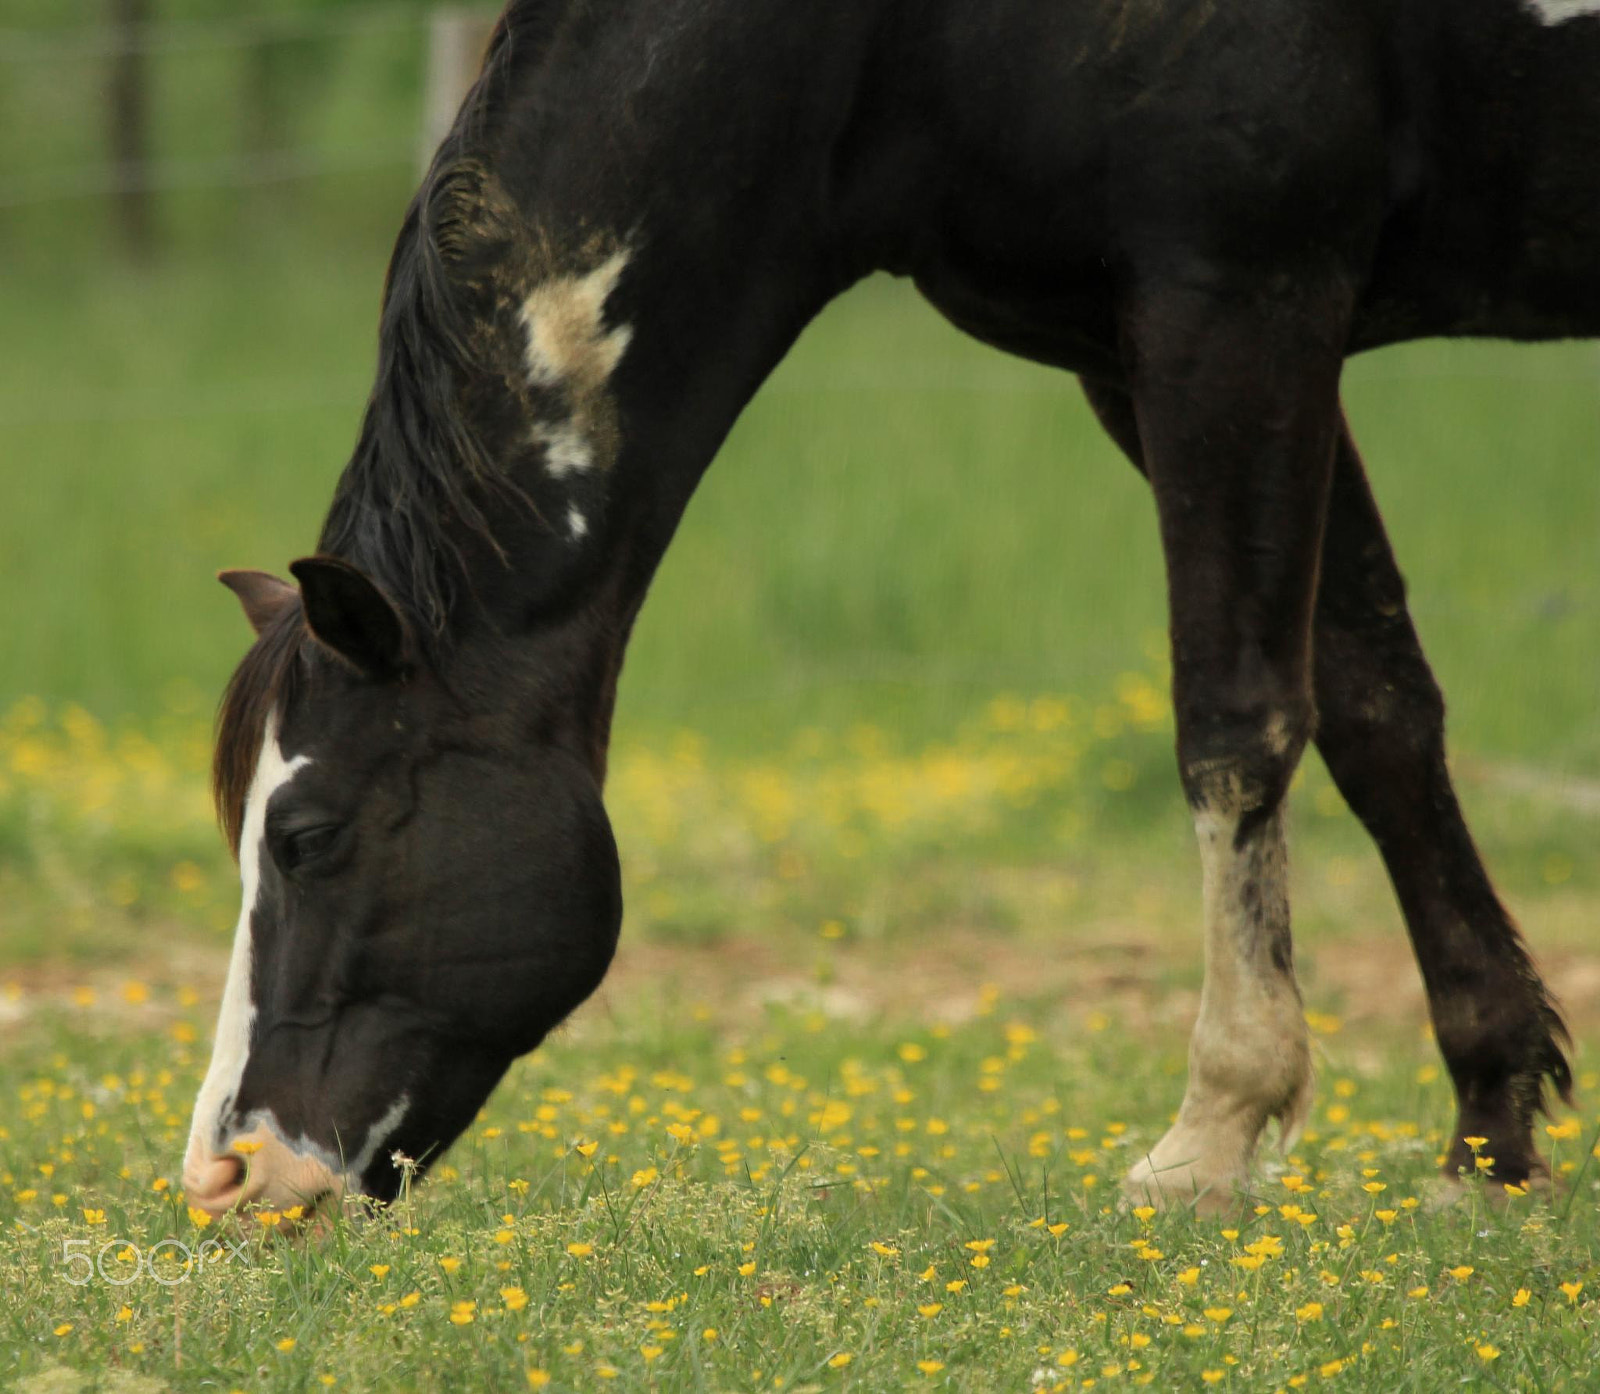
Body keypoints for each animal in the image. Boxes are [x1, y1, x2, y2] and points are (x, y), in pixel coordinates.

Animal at [182, 0, 1597, 1222]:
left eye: (306, 836)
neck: (889, 38)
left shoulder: (1243, 301)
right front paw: (1489, 1129)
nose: (226, 1175)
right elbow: (1375, 713)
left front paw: (1210, 1134)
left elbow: (1234, 718)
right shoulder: (1131, 353)